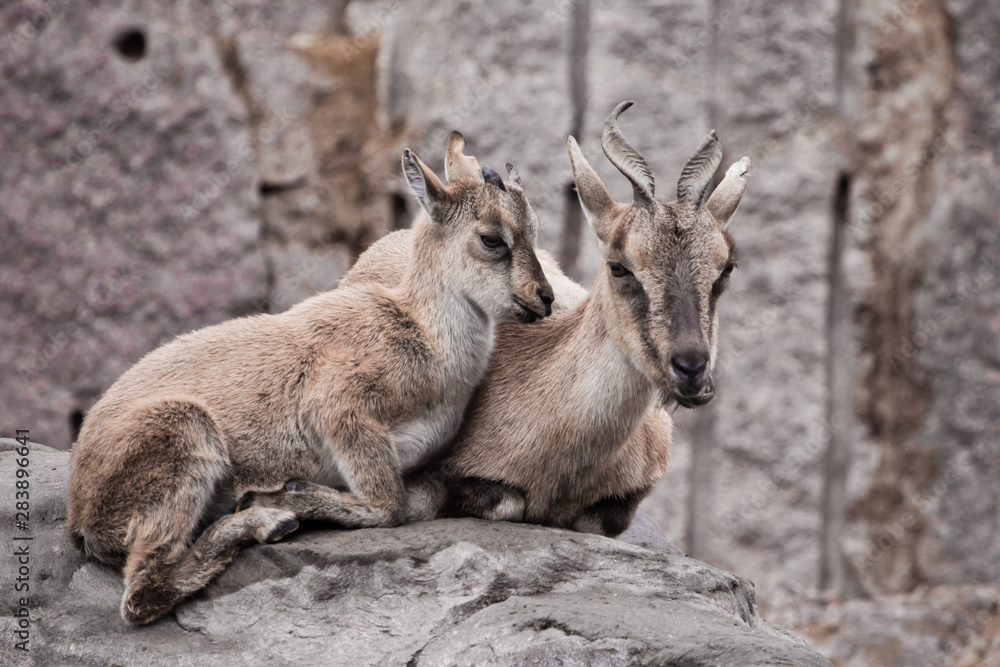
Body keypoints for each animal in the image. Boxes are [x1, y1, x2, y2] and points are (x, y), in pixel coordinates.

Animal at [65, 132, 554, 624]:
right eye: (491, 238)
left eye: (533, 230)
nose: (545, 297)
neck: (426, 341)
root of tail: (81, 510)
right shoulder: (340, 407)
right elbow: (388, 507)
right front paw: (282, 496)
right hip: (183, 432)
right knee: (141, 593)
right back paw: (264, 520)